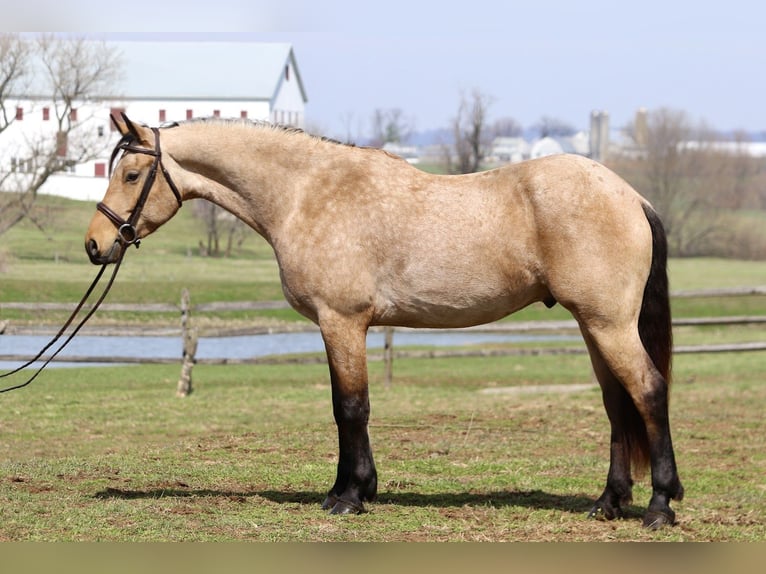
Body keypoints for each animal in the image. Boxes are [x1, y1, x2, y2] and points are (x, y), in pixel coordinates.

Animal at [85, 114, 684, 529]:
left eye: (132, 174)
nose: (95, 244)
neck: (307, 193)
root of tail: (631, 195)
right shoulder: (342, 328)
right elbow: (346, 408)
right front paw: (352, 490)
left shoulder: (342, 322)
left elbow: (351, 407)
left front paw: (349, 498)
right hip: (594, 326)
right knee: (618, 404)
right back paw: (608, 503)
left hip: (608, 325)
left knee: (649, 392)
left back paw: (660, 504)